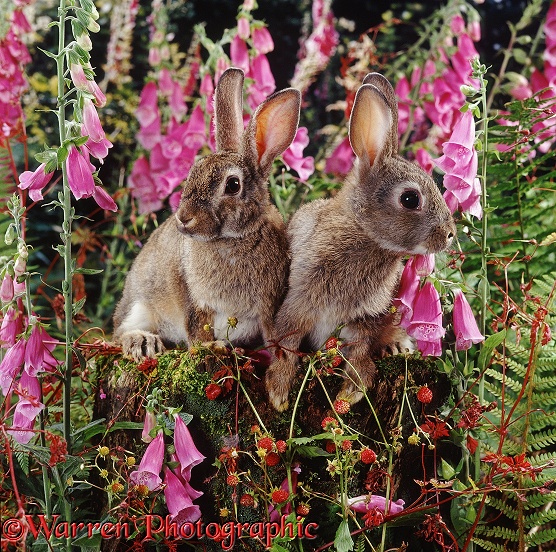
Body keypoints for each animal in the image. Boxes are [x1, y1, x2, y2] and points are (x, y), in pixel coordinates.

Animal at [113, 68, 302, 362]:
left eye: (233, 185)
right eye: (193, 172)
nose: (183, 218)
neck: (233, 240)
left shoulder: (268, 306)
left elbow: (272, 332)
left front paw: (280, 355)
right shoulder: (193, 298)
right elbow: (196, 328)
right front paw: (210, 348)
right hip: (139, 305)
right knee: (118, 332)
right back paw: (142, 343)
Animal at [264, 72, 456, 410]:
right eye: (410, 199)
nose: (449, 234)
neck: (366, 237)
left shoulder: (363, 319)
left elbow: (358, 349)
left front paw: (351, 390)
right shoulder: (298, 303)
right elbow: (287, 342)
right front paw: (279, 393)